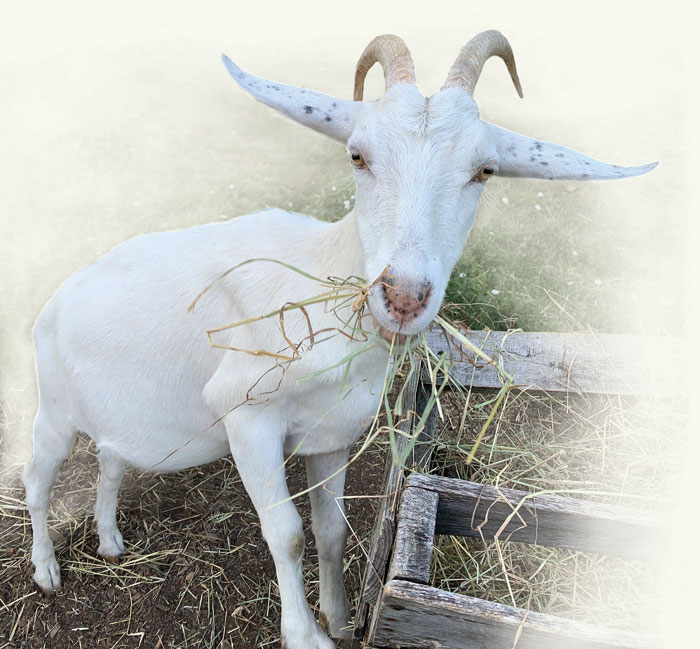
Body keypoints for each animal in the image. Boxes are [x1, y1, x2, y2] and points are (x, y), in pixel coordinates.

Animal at [23, 32, 655, 649]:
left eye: (485, 171)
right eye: (357, 155)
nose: (403, 296)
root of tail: (55, 299)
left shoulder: (330, 432)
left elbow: (330, 530)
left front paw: (341, 618)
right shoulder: (245, 415)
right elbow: (287, 533)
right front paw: (306, 637)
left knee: (110, 459)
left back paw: (110, 542)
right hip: (52, 407)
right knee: (38, 476)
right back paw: (47, 571)